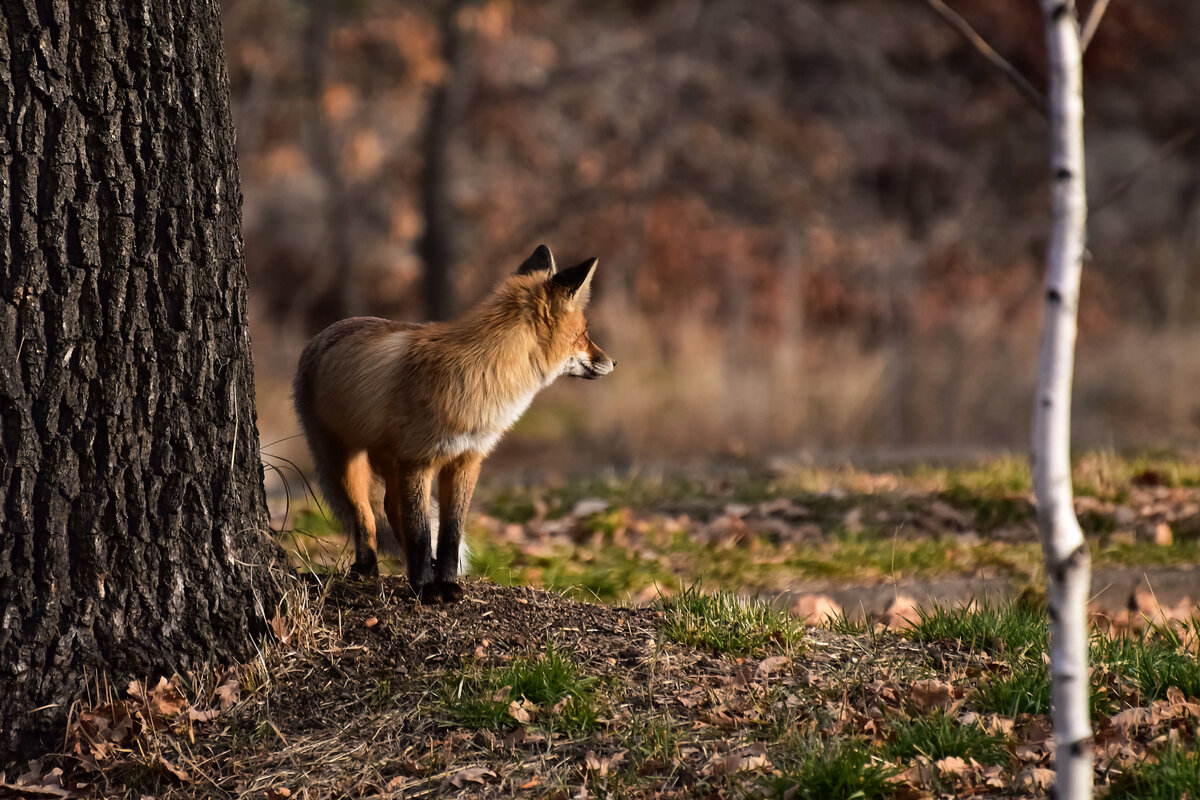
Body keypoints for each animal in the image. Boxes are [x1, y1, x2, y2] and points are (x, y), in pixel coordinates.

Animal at [294, 247, 614, 604]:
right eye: (584, 334)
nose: (613, 362)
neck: (481, 376)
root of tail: (325, 332)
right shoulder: (417, 460)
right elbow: (421, 532)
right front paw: (424, 588)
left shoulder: (467, 458)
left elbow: (450, 532)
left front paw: (444, 582)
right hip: (345, 461)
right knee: (365, 513)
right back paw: (367, 568)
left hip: (389, 462)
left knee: (390, 508)